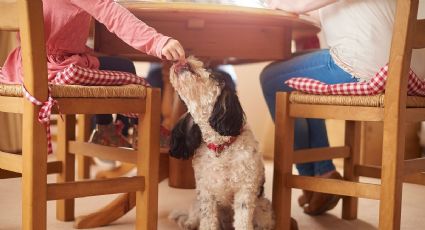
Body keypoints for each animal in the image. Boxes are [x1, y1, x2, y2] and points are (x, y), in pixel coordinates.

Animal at [166, 56, 274, 230]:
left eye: (211, 72)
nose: (186, 59)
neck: (221, 147)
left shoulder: (245, 190)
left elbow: (243, 222)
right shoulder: (206, 192)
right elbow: (207, 221)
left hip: (263, 210)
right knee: (194, 215)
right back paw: (188, 223)